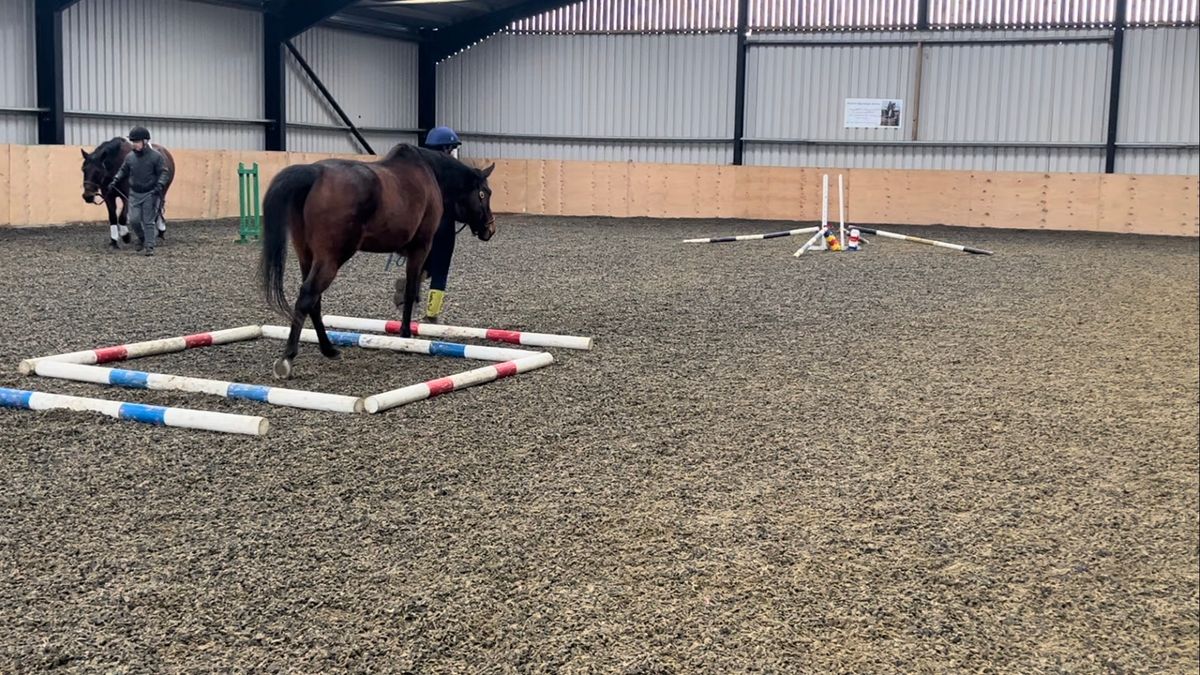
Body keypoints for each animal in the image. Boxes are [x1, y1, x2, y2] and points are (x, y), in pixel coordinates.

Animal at [258, 142, 496, 379]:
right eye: (484, 193)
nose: (490, 229)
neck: (428, 172)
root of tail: (315, 173)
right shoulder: (421, 246)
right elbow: (411, 289)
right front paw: (405, 334)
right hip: (331, 259)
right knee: (308, 296)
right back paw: (288, 357)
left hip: (306, 257)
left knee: (314, 301)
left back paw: (328, 349)